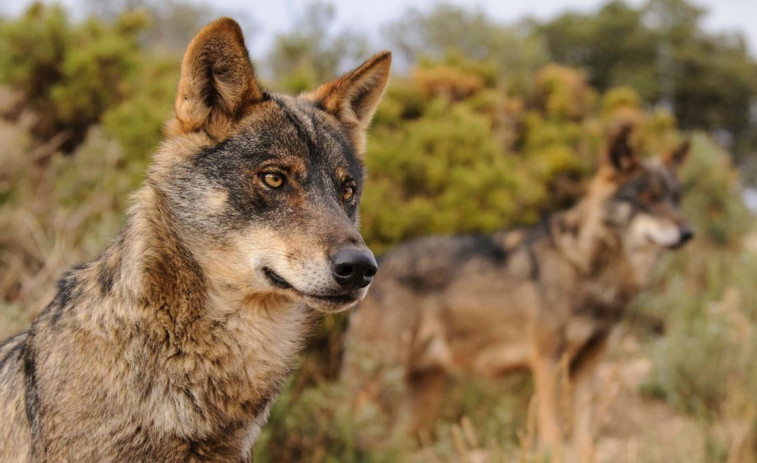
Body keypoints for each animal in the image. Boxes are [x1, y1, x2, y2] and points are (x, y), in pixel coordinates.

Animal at [342, 125, 692, 462]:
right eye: (649, 198)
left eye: (675, 199)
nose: (688, 233)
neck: (583, 264)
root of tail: (377, 264)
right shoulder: (548, 361)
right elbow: (553, 433)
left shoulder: (587, 366)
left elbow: (585, 441)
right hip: (378, 381)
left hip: (421, 392)